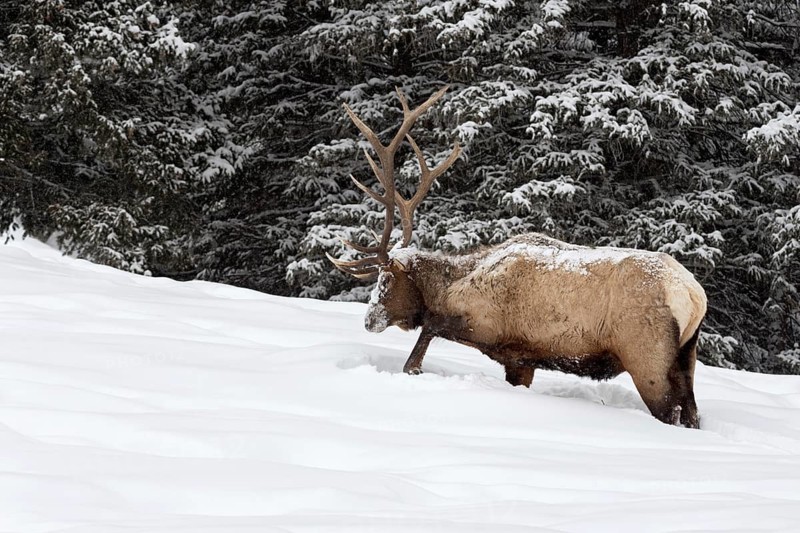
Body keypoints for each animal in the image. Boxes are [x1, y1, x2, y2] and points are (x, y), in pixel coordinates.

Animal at [328, 86, 708, 428]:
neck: (455, 283)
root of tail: (694, 295)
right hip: (686, 356)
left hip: (647, 356)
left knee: (670, 412)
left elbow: (428, 330)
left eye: (387, 279)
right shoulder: (521, 358)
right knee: (691, 413)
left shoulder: (487, 322)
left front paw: (413, 368)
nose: (369, 320)